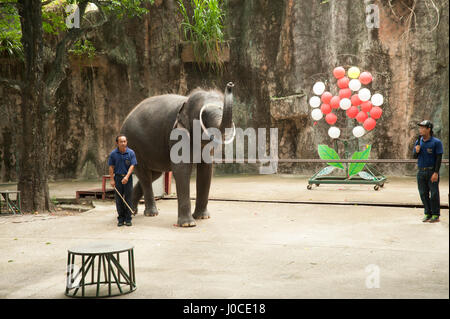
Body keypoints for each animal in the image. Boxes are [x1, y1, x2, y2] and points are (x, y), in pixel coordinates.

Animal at [119, 82, 236, 228]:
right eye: (203, 115)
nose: (230, 84)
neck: (186, 103)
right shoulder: (177, 133)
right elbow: (181, 169)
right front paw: (188, 224)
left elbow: (206, 170)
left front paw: (202, 217)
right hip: (134, 145)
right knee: (145, 175)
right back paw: (151, 213)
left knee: (154, 174)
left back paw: (132, 210)